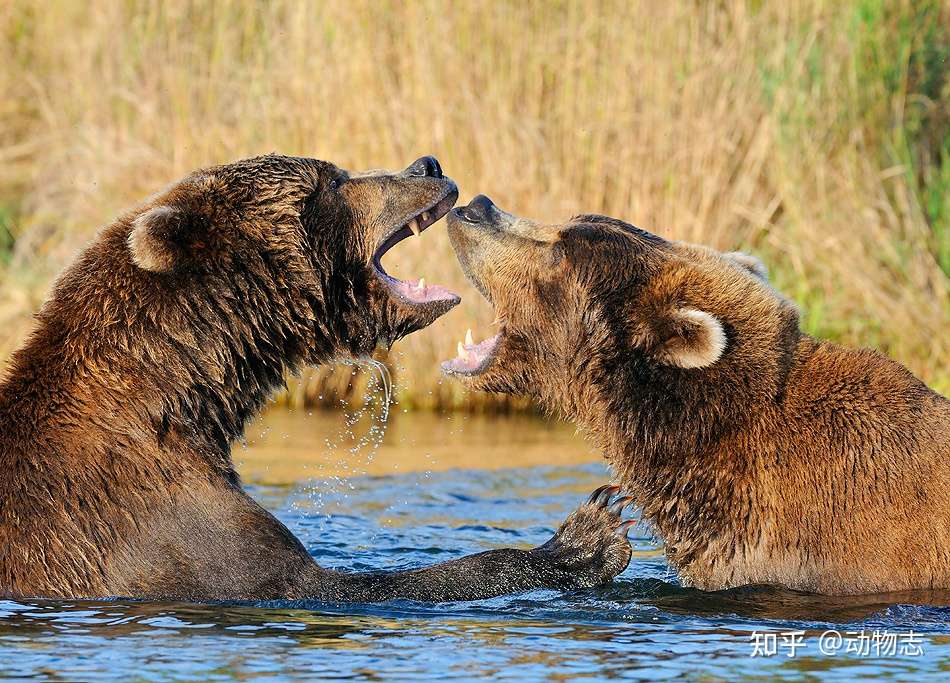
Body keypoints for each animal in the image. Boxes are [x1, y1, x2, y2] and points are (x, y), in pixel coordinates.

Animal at [1, 158, 640, 600]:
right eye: (330, 181)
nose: (428, 165)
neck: (176, 398)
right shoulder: (161, 527)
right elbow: (333, 585)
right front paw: (587, 536)